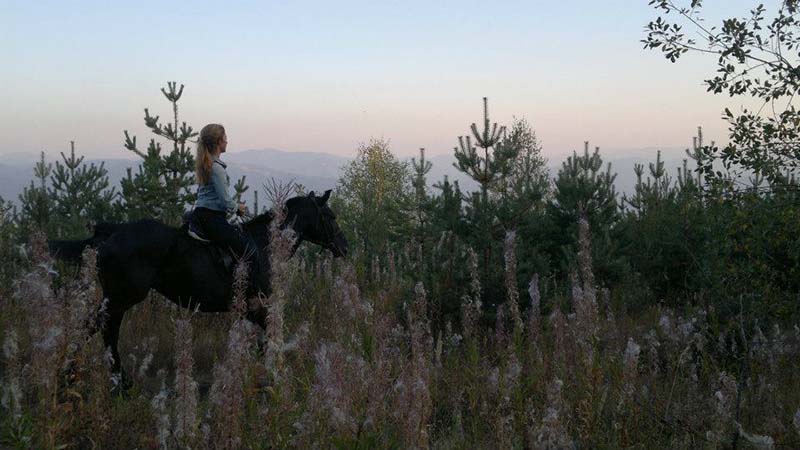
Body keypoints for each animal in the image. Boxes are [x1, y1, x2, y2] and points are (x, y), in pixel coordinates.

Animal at [47, 190, 346, 380]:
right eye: (330, 216)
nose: (344, 246)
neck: (266, 244)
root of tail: (112, 232)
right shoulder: (258, 305)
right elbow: (272, 337)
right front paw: (274, 374)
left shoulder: (249, 309)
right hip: (122, 297)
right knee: (102, 329)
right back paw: (97, 380)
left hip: (116, 298)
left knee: (99, 329)